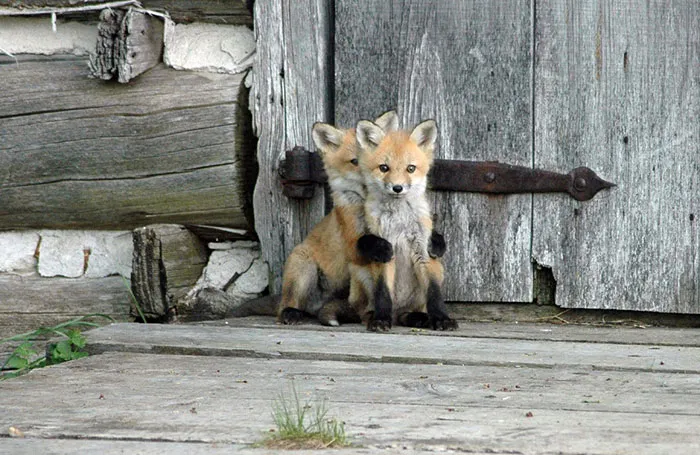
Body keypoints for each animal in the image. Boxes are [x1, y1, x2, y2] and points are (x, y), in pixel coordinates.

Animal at [353, 118, 458, 331]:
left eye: (410, 168)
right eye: (384, 168)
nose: (397, 188)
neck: (399, 221)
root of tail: (398, 312)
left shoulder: (423, 250)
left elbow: (434, 293)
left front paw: (441, 318)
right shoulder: (385, 253)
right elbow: (383, 292)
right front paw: (380, 319)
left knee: (409, 313)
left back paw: (418, 318)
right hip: (361, 273)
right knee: (366, 311)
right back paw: (377, 316)